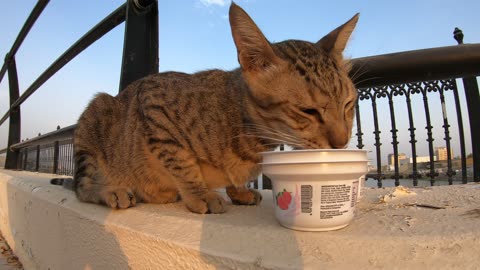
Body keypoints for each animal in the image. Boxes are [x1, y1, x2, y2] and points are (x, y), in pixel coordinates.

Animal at [73, 2, 358, 213]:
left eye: (348, 104)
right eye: (308, 111)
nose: (341, 142)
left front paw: (239, 191)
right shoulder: (153, 104)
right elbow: (182, 162)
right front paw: (200, 194)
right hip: (94, 118)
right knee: (82, 188)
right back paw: (112, 191)